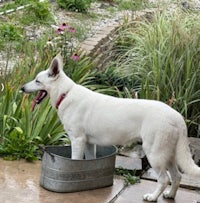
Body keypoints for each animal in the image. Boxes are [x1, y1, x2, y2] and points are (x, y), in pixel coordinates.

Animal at [21, 53, 200, 201]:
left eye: (37, 81)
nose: (22, 88)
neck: (66, 93)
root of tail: (177, 116)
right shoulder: (88, 143)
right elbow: (88, 162)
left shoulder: (77, 140)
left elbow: (75, 160)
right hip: (168, 154)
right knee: (177, 176)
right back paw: (170, 195)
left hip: (154, 154)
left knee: (164, 179)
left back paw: (153, 197)